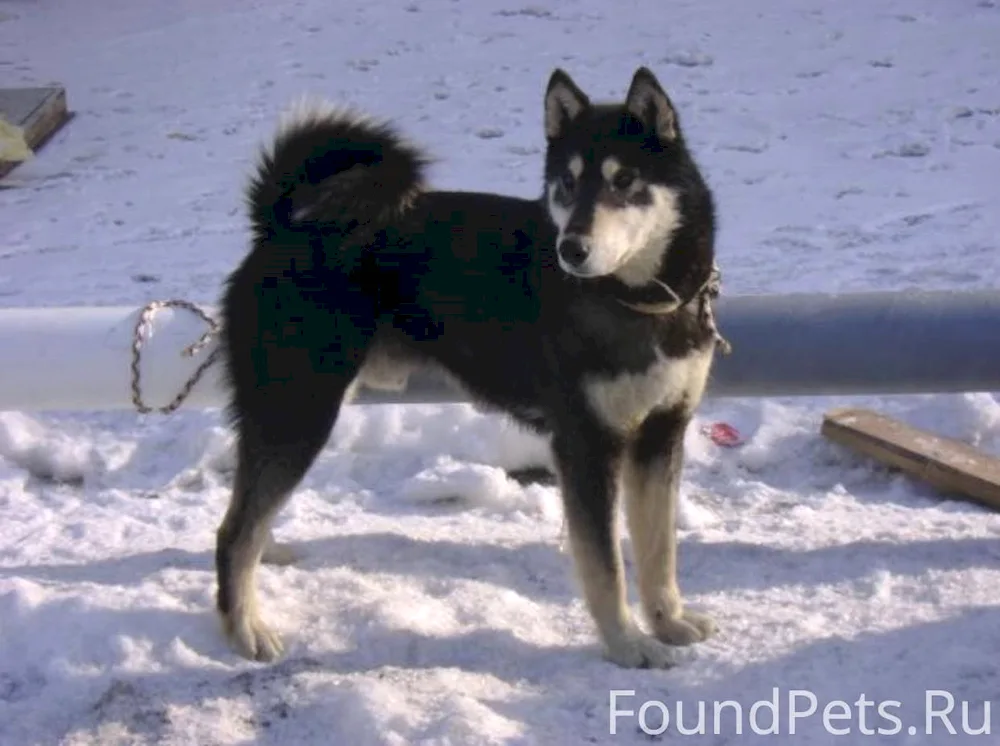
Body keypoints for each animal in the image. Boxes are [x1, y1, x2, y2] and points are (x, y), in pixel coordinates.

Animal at [215, 65, 728, 668]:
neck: (636, 299)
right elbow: (606, 568)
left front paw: (667, 621)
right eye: (567, 183)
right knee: (233, 532)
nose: (571, 248)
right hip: (300, 409)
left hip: (291, 413)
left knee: (250, 508)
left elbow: (657, 550)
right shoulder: (586, 444)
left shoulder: (660, 436)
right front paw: (627, 643)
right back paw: (244, 627)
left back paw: (265, 556)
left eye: (624, 180)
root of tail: (279, 228)